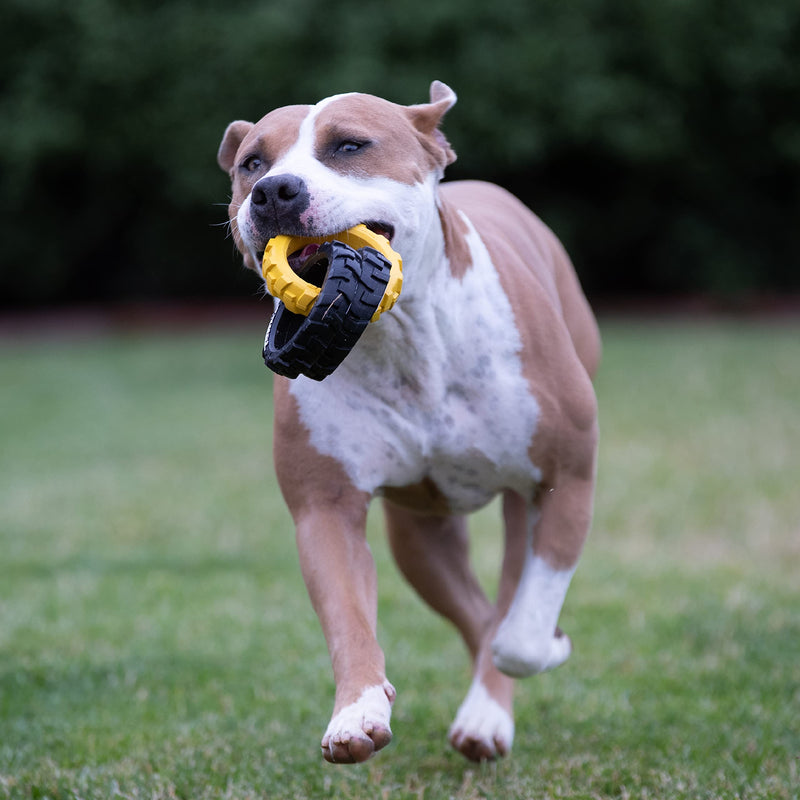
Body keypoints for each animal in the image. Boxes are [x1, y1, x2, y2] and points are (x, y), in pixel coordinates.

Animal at [219, 79, 600, 764]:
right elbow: (348, 618)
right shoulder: (325, 510)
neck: (400, 338)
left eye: (350, 146)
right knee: (476, 612)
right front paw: (357, 712)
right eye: (251, 163)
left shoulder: (566, 477)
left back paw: (489, 712)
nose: (274, 190)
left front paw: (548, 644)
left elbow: (522, 632)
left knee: (506, 606)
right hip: (420, 538)